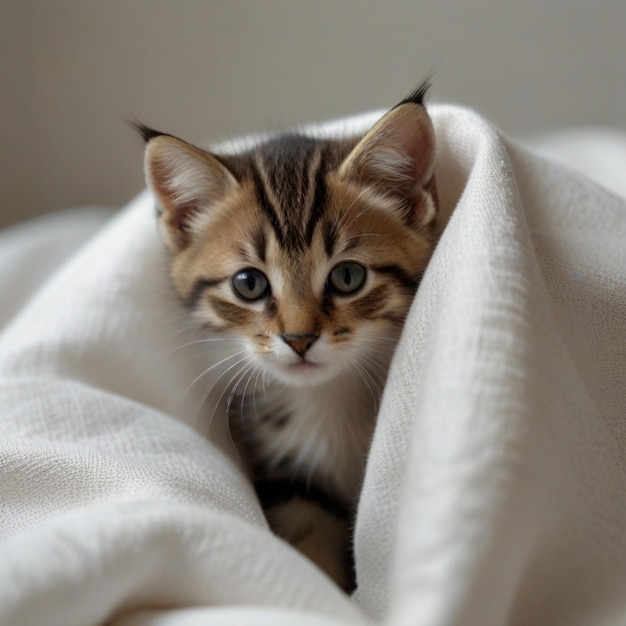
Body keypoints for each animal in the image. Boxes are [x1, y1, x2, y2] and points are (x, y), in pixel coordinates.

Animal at [136, 80, 438, 588]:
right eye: (249, 283)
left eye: (348, 277)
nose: (299, 339)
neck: (326, 405)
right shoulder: (291, 484)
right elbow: (307, 555)